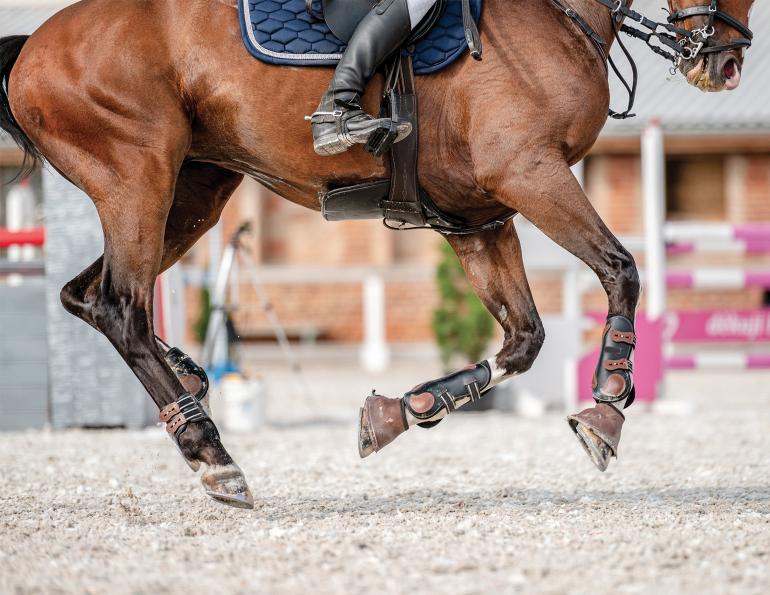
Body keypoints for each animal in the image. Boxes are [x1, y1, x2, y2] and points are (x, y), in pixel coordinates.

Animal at [0, 0, 755, 508]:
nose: (724, 63)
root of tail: (34, 44)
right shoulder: (531, 173)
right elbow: (620, 270)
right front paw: (606, 412)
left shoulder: (481, 220)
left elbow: (523, 339)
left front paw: (401, 410)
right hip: (137, 176)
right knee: (120, 305)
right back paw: (212, 455)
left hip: (193, 190)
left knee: (84, 294)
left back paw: (188, 377)